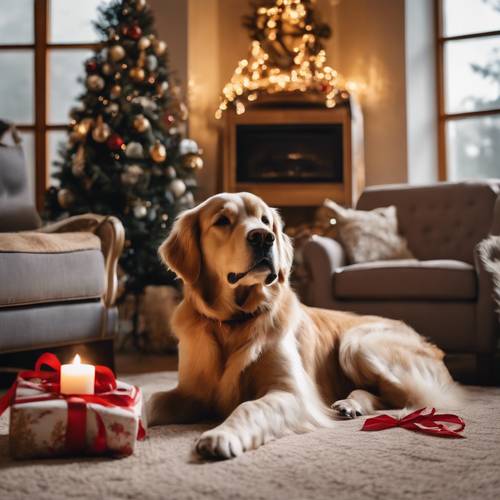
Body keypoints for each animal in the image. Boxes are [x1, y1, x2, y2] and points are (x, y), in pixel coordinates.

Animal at [146, 193, 460, 458]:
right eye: (222, 220)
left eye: (265, 220)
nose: (263, 237)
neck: (234, 322)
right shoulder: (191, 393)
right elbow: (152, 398)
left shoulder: (290, 394)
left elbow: (249, 407)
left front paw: (222, 435)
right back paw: (349, 404)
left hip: (357, 343)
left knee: (404, 398)